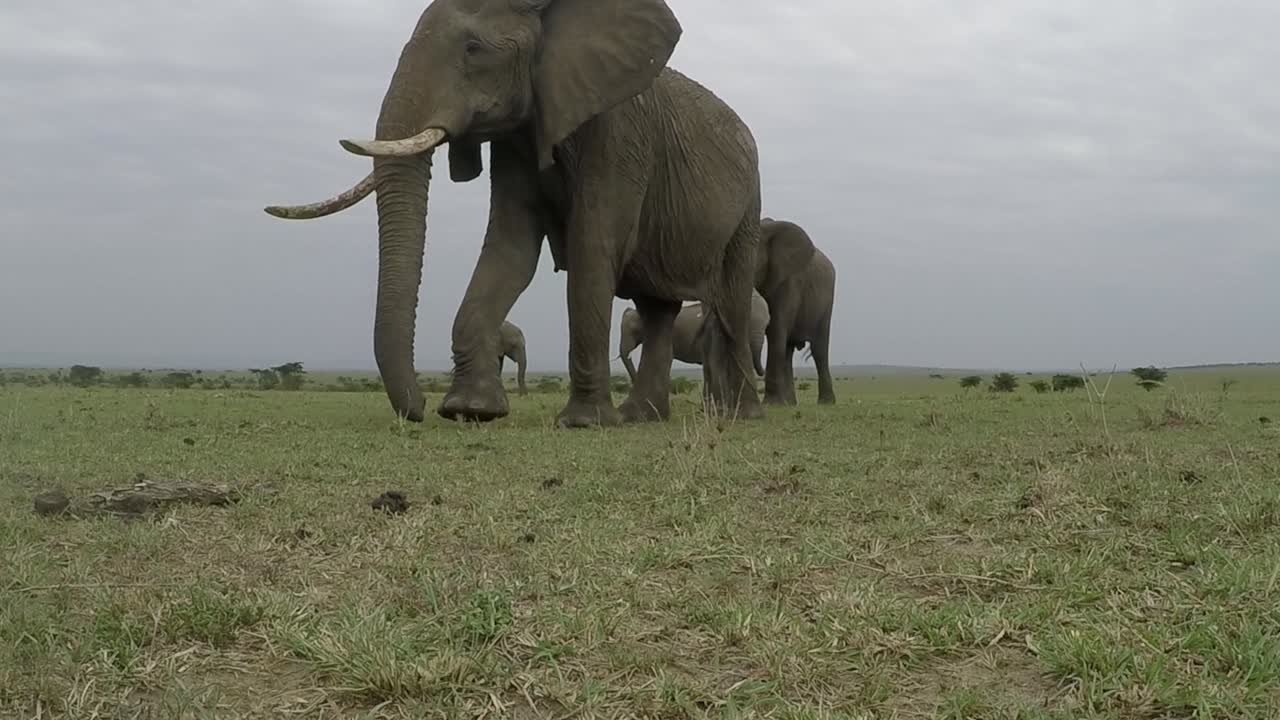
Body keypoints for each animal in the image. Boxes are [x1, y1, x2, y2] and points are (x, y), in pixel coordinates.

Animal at [753, 217, 837, 405]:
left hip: (827, 301)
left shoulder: (789, 280)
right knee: (788, 350)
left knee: (819, 350)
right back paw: (790, 404)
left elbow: (776, 327)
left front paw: (771, 405)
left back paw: (826, 403)